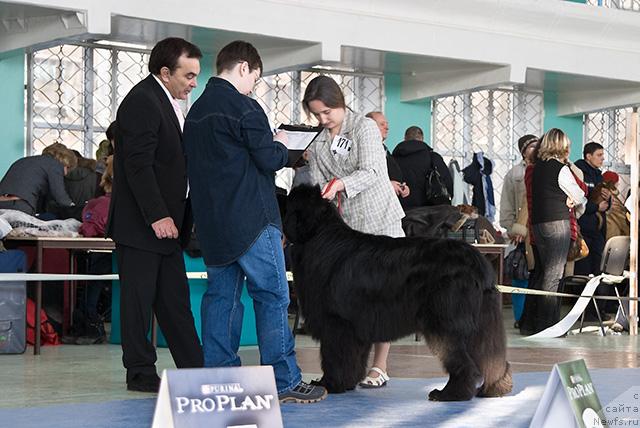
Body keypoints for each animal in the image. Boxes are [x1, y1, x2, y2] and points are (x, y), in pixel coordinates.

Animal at [282, 185, 512, 402]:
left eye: (290, 200)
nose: (278, 197)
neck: (319, 236)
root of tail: (477, 261)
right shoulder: (357, 326)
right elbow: (354, 358)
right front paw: (346, 383)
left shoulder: (336, 323)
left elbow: (335, 357)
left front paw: (329, 384)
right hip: (480, 324)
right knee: (490, 358)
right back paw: (493, 388)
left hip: (446, 322)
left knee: (465, 363)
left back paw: (449, 394)